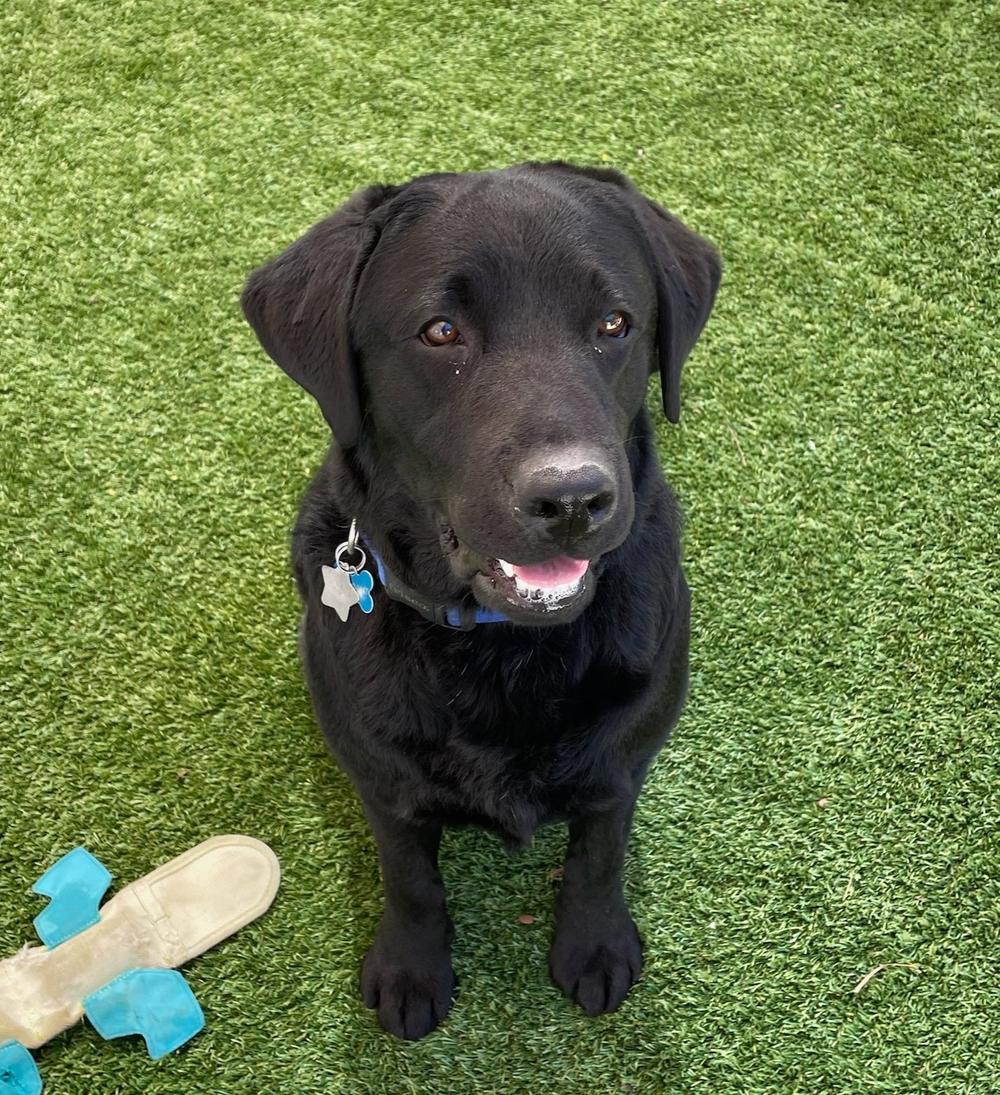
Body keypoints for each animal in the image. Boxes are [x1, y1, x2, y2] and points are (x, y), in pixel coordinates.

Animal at [242, 159, 718, 1033]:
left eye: (614, 323)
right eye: (440, 332)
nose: (572, 497)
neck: (503, 648)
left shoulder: (623, 760)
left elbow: (599, 852)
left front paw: (595, 943)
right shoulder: (384, 784)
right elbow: (410, 876)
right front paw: (411, 965)